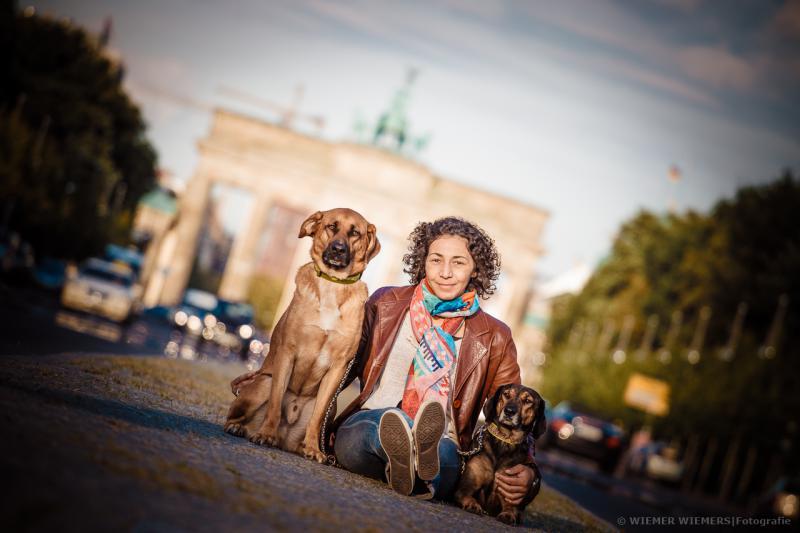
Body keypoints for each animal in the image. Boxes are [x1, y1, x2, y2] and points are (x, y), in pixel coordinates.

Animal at [222, 208, 378, 462]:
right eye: (331, 227)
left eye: (355, 233)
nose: (338, 249)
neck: (333, 285)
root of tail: (285, 438)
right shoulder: (288, 352)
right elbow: (275, 404)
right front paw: (266, 434)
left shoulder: (338, 368)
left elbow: (317, 418)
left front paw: (314, 448)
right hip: (264, 382)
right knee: (237, 414)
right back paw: (241, 428)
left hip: (331, 406)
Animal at [454, 382, 548, 524]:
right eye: (506, 394)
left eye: (528, 401)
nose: (509, 411)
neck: (505, 440)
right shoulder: (464, 489)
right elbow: (469, 497)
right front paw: (473, 504)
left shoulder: (511, 495)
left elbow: (510, 509)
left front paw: (508, 515)